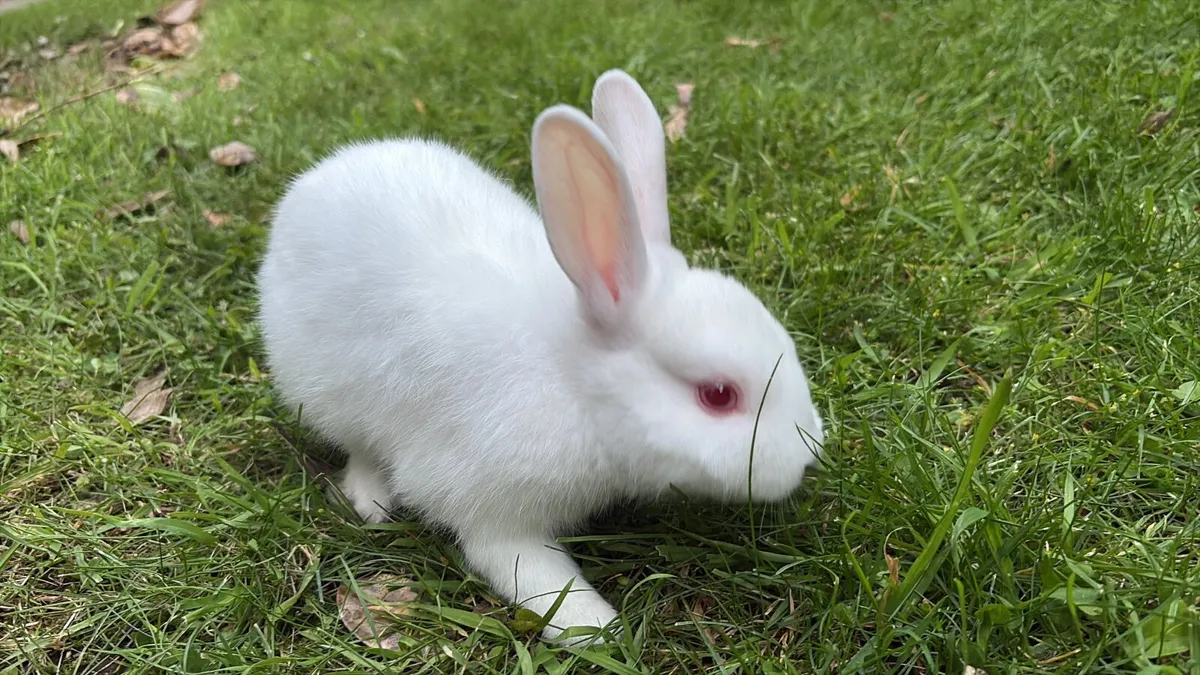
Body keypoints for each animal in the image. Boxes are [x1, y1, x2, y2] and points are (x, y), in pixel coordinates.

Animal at [257, 69, 824, 643]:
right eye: (718, 395)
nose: (809, 456)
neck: (573, 381)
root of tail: (312, 184)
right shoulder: (489, 506)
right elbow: (528, 570)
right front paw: (598, 629)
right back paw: (372, 500)